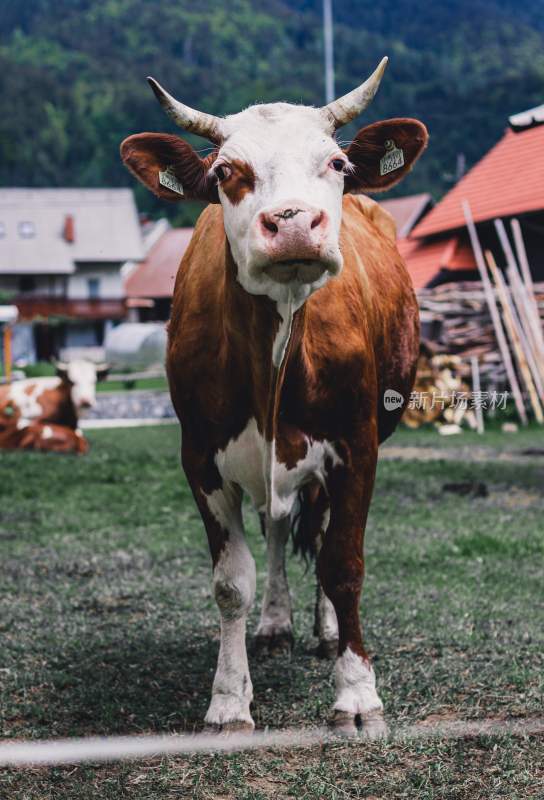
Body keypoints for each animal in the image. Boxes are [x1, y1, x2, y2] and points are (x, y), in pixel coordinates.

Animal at [122, 57, 430, 736]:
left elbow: (344, 564)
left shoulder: (357, 445)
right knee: (279, 524)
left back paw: (328, 630)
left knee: (319, 531)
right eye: (224, 172)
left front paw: (358, 695)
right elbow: (231, 580)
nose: (292, 224)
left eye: (335, 164)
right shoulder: (200, 457)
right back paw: (275, 624)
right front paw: (229, 699)